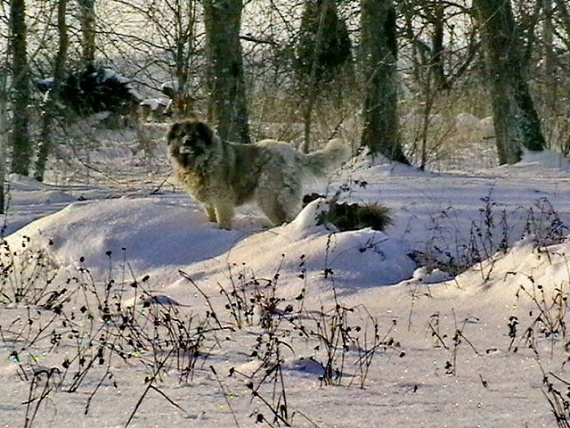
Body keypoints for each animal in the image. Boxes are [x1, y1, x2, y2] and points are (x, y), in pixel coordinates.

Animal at [166, 118, 348, 229]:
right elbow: (211, 215)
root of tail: (291, 152)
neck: (201, 161)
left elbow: (223, 219)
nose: (187, 142)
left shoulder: (221, 199)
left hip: (268, 197)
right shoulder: (208, 202)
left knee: (284, 218)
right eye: (181, 135)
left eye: (196, 135)